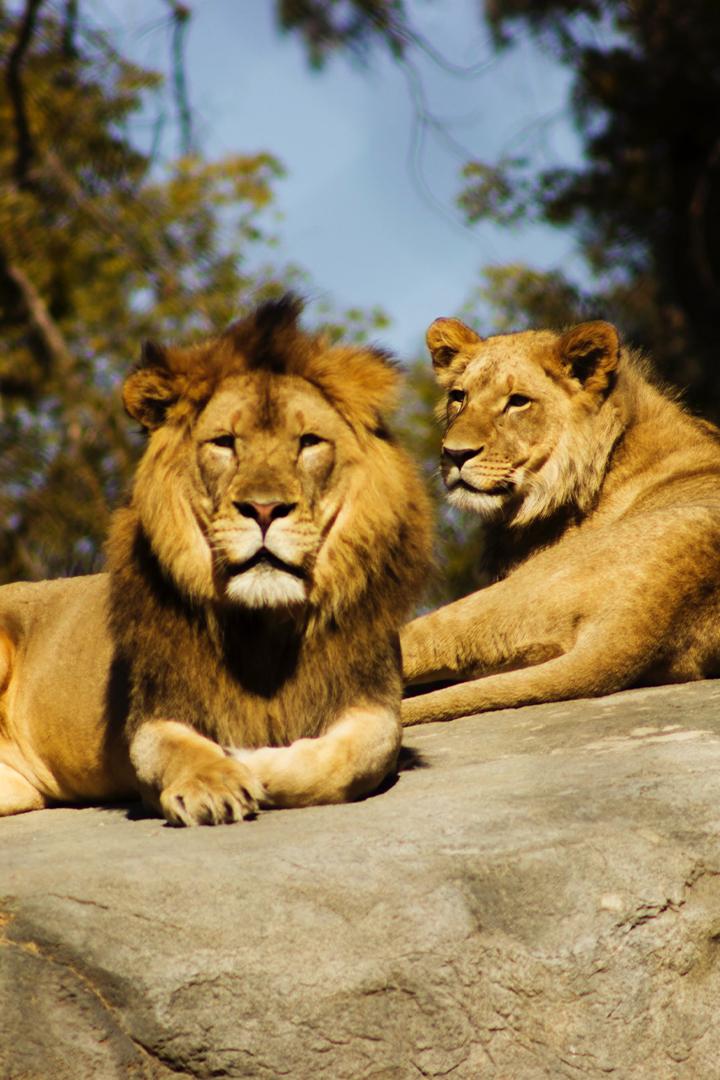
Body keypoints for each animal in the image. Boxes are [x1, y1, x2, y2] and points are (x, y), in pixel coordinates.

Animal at [0, 295, 432, 824]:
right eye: (225, 442)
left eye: (308, 441)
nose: (264, 509)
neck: (265, 626)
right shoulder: (154, 715)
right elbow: (178, 749)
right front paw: (214, 785)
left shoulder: (373, 702)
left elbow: (352, 758)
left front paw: (251, 760)